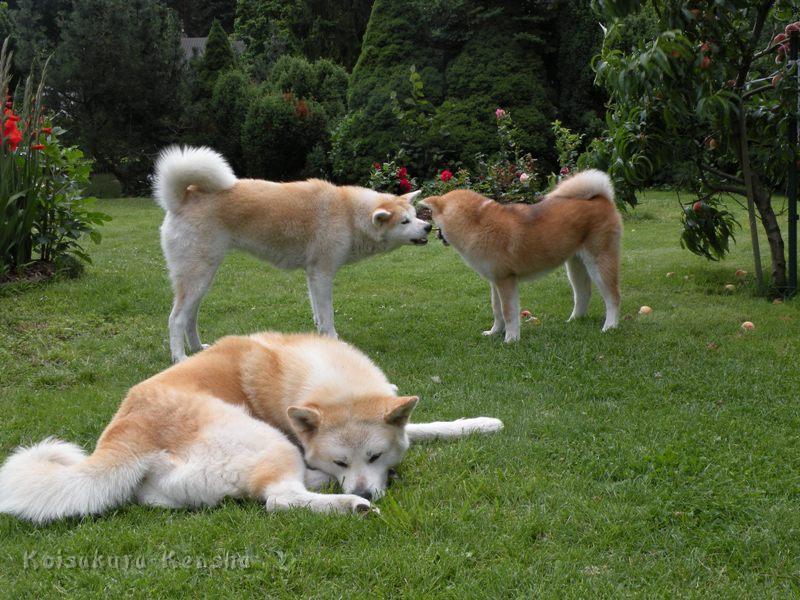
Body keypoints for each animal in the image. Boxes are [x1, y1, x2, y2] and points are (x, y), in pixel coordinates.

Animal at [0, 330, 504, 524]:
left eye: (375, 456)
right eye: (343, 461)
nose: (362, 489)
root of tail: (124, 439)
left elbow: (428, 427)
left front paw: (481, 423)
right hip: (270, 440)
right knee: (279, 499)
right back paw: (346, 505)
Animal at [151, 146, 432, 360]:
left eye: (416, 216)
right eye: (405, 221)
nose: (429, 227)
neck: (349, 214)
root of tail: (181, 198)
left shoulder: (313, 275)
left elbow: (319, 316)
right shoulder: (322, 274)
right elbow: (328, 316)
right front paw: (334, 342)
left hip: (203, 278)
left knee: (189, 318)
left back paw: (198, 349)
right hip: (197, 277)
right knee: (175, 319)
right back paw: (180, 358)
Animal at [422, 171, 620, 344]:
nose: (430, 229)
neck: (477, 224)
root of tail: (602, 198)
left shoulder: (506, 280)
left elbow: (508, 312)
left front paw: (511, 339)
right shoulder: (495, 280)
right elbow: (496, 310)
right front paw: (494, 332)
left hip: (599, 263)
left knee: (613, 297)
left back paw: (610, 326)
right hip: (575, 266)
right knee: (583, 294)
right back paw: (573, 321)